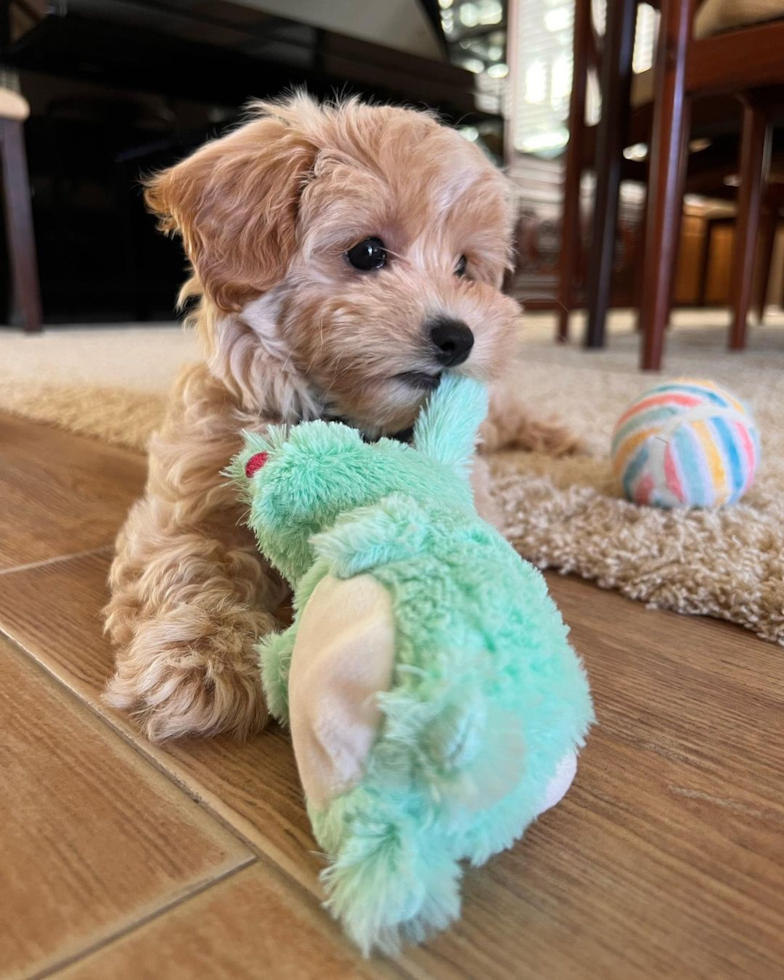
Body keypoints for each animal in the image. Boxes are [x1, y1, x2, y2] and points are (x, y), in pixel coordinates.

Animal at [105, 95, 576, 740]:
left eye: (464, 267)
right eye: (367, 253)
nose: (459, 337)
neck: (342, 411)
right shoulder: (188, 494)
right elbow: (189, 561)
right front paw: (201, 658)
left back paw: (563, 438)